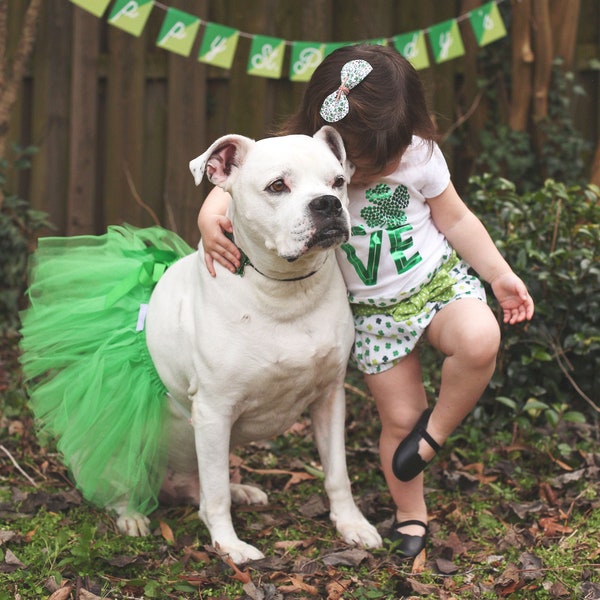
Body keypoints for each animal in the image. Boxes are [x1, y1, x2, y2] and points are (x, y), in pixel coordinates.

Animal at [121, 125, 380, 564]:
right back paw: (130, 513)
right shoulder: (213, 411)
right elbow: (215, 496)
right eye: (277, 186)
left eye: (338, 182)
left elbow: (337, 473)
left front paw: (351, 524)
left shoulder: (330, 397)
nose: (327, 203)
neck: (285, 291)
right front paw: (229, 546)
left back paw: (240, 490)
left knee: (200, 485)